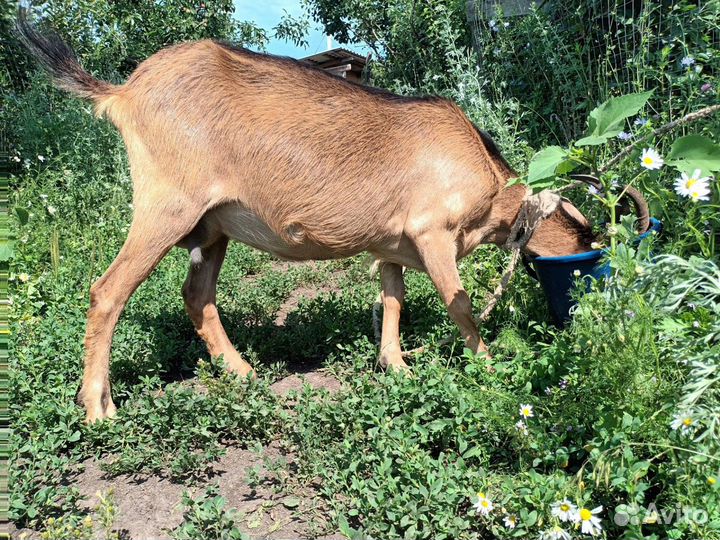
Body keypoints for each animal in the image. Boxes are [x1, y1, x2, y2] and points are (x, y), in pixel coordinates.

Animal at [19, 22, 600, 422]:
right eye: (588, 234)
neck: (488, 180)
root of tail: (123, 92)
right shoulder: (433, 233)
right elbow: (462, 309)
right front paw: (489, 367)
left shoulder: (392, 246)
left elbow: (393, 301)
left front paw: (396, 366)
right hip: (167, 207)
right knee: (107, 291)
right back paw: (98, 407)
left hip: (212, 226)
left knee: (196, 295)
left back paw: (240, 371)